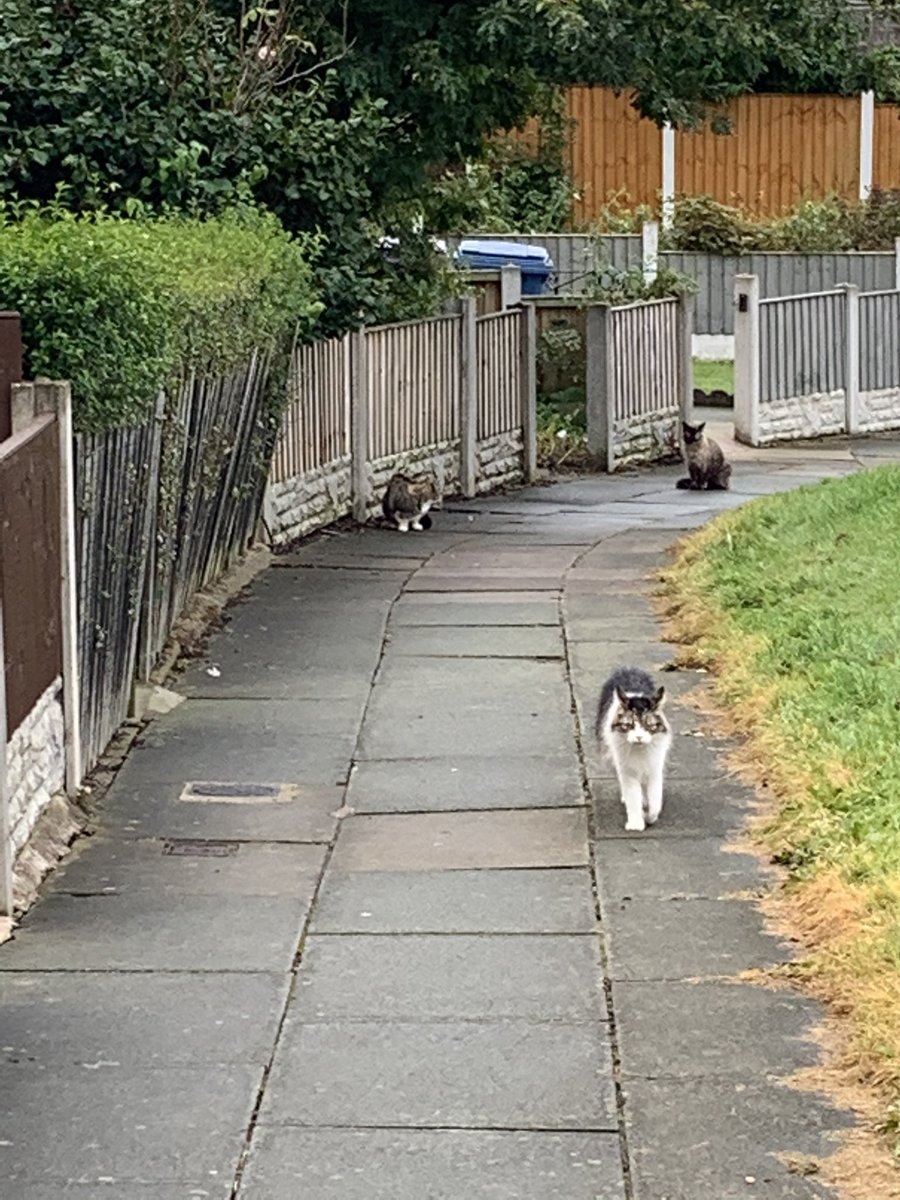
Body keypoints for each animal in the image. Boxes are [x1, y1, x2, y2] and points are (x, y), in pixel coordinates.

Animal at [595, 672, 672, 830]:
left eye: (649, 726)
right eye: (629, 725)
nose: (639, 737)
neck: (639, 751)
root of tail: (627, 670)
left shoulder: (655, 768)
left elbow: (655, 799)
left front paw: (650, 816)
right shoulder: (627, 770)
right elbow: (633, 797)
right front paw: (636, 822)